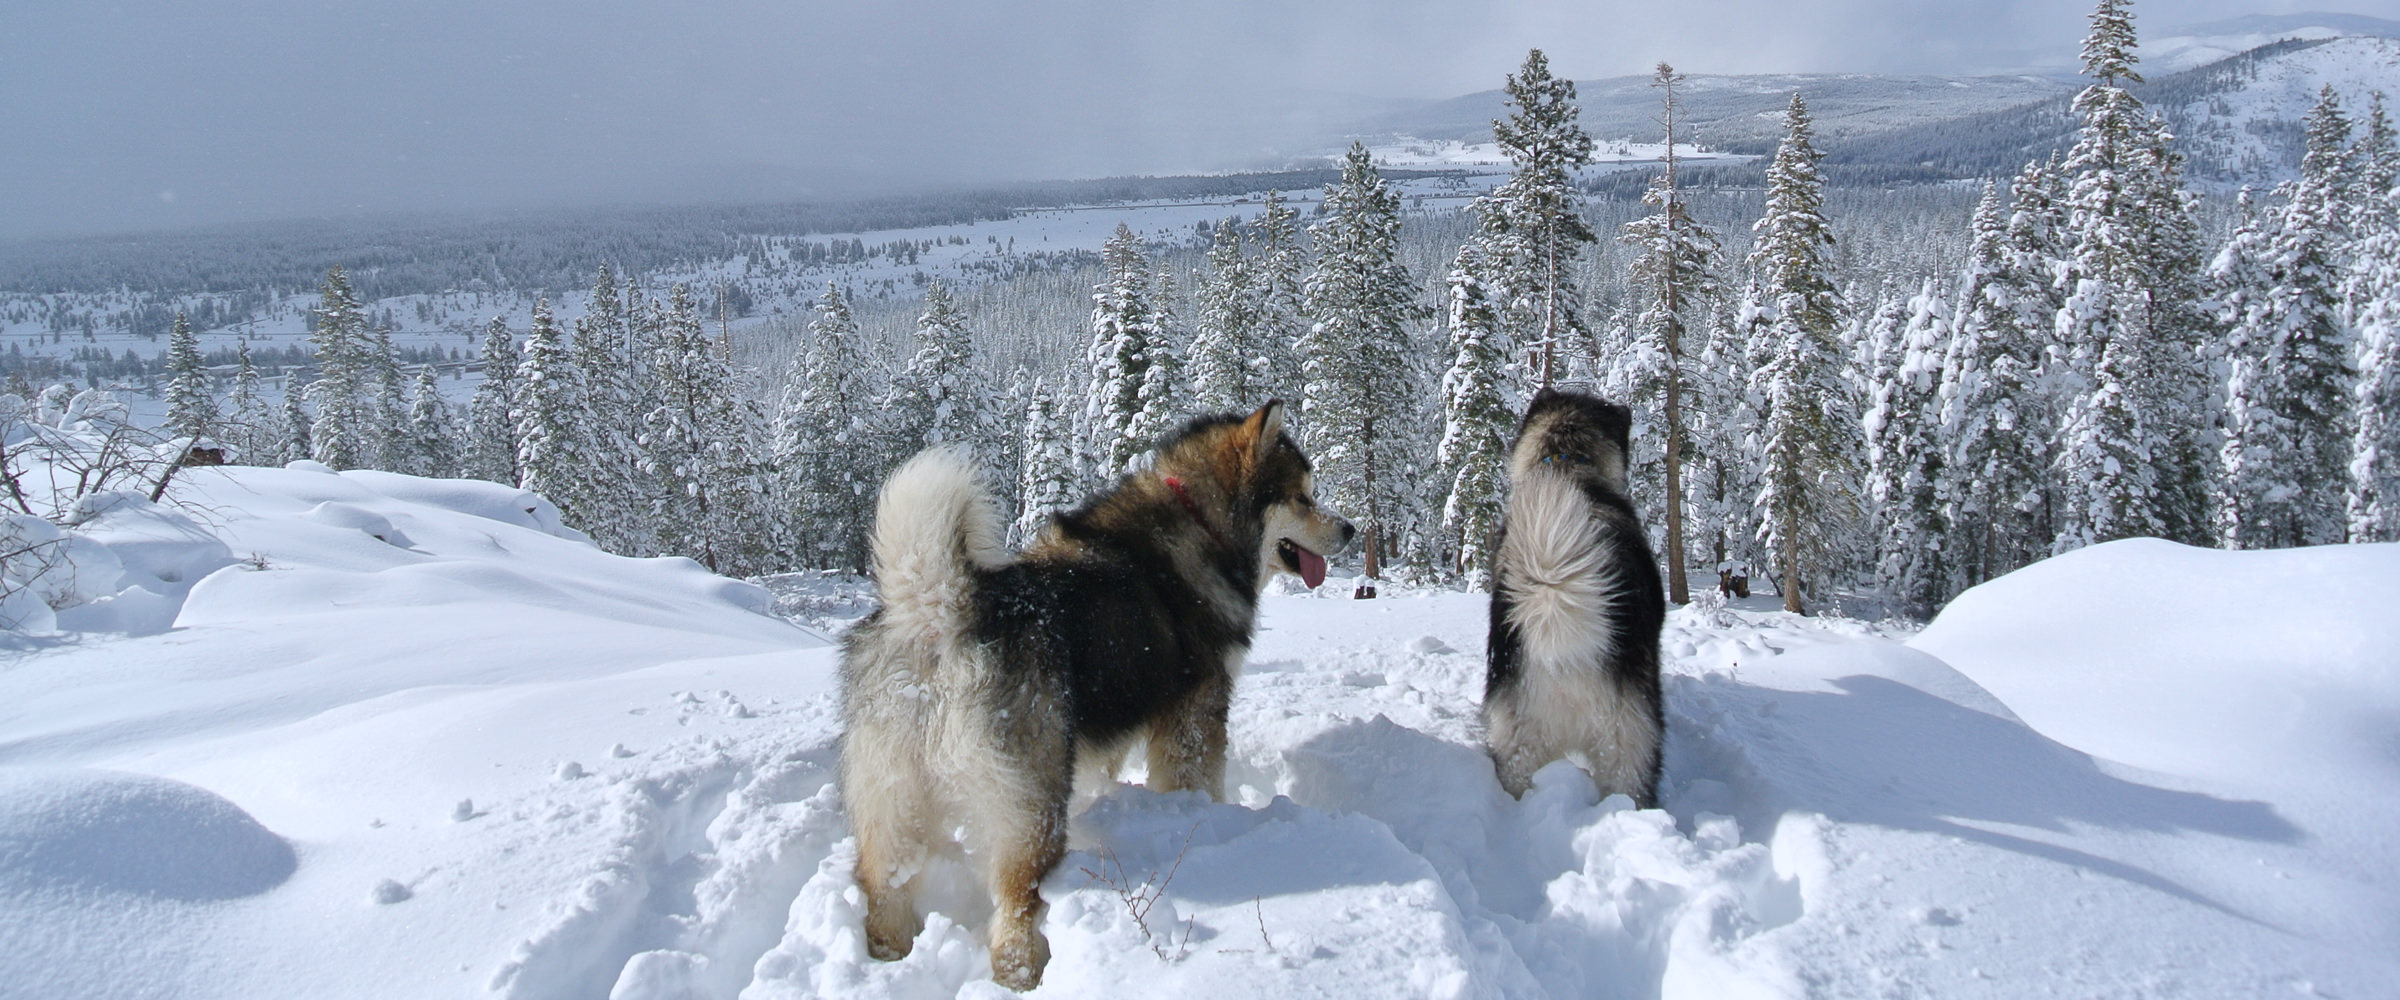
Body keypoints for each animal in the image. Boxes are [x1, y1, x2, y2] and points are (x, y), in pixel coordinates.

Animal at [840, 400, 1353, 988]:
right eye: (1302, 497)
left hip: (889, 796)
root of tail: (939, 610)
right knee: (1015, 899)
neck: (1204, 525)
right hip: (1031, 801)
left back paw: (889, 956)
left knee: (885, 887)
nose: (1351, 529)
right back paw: (1025, 970)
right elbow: (1198, 779)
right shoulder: (1197, 711)